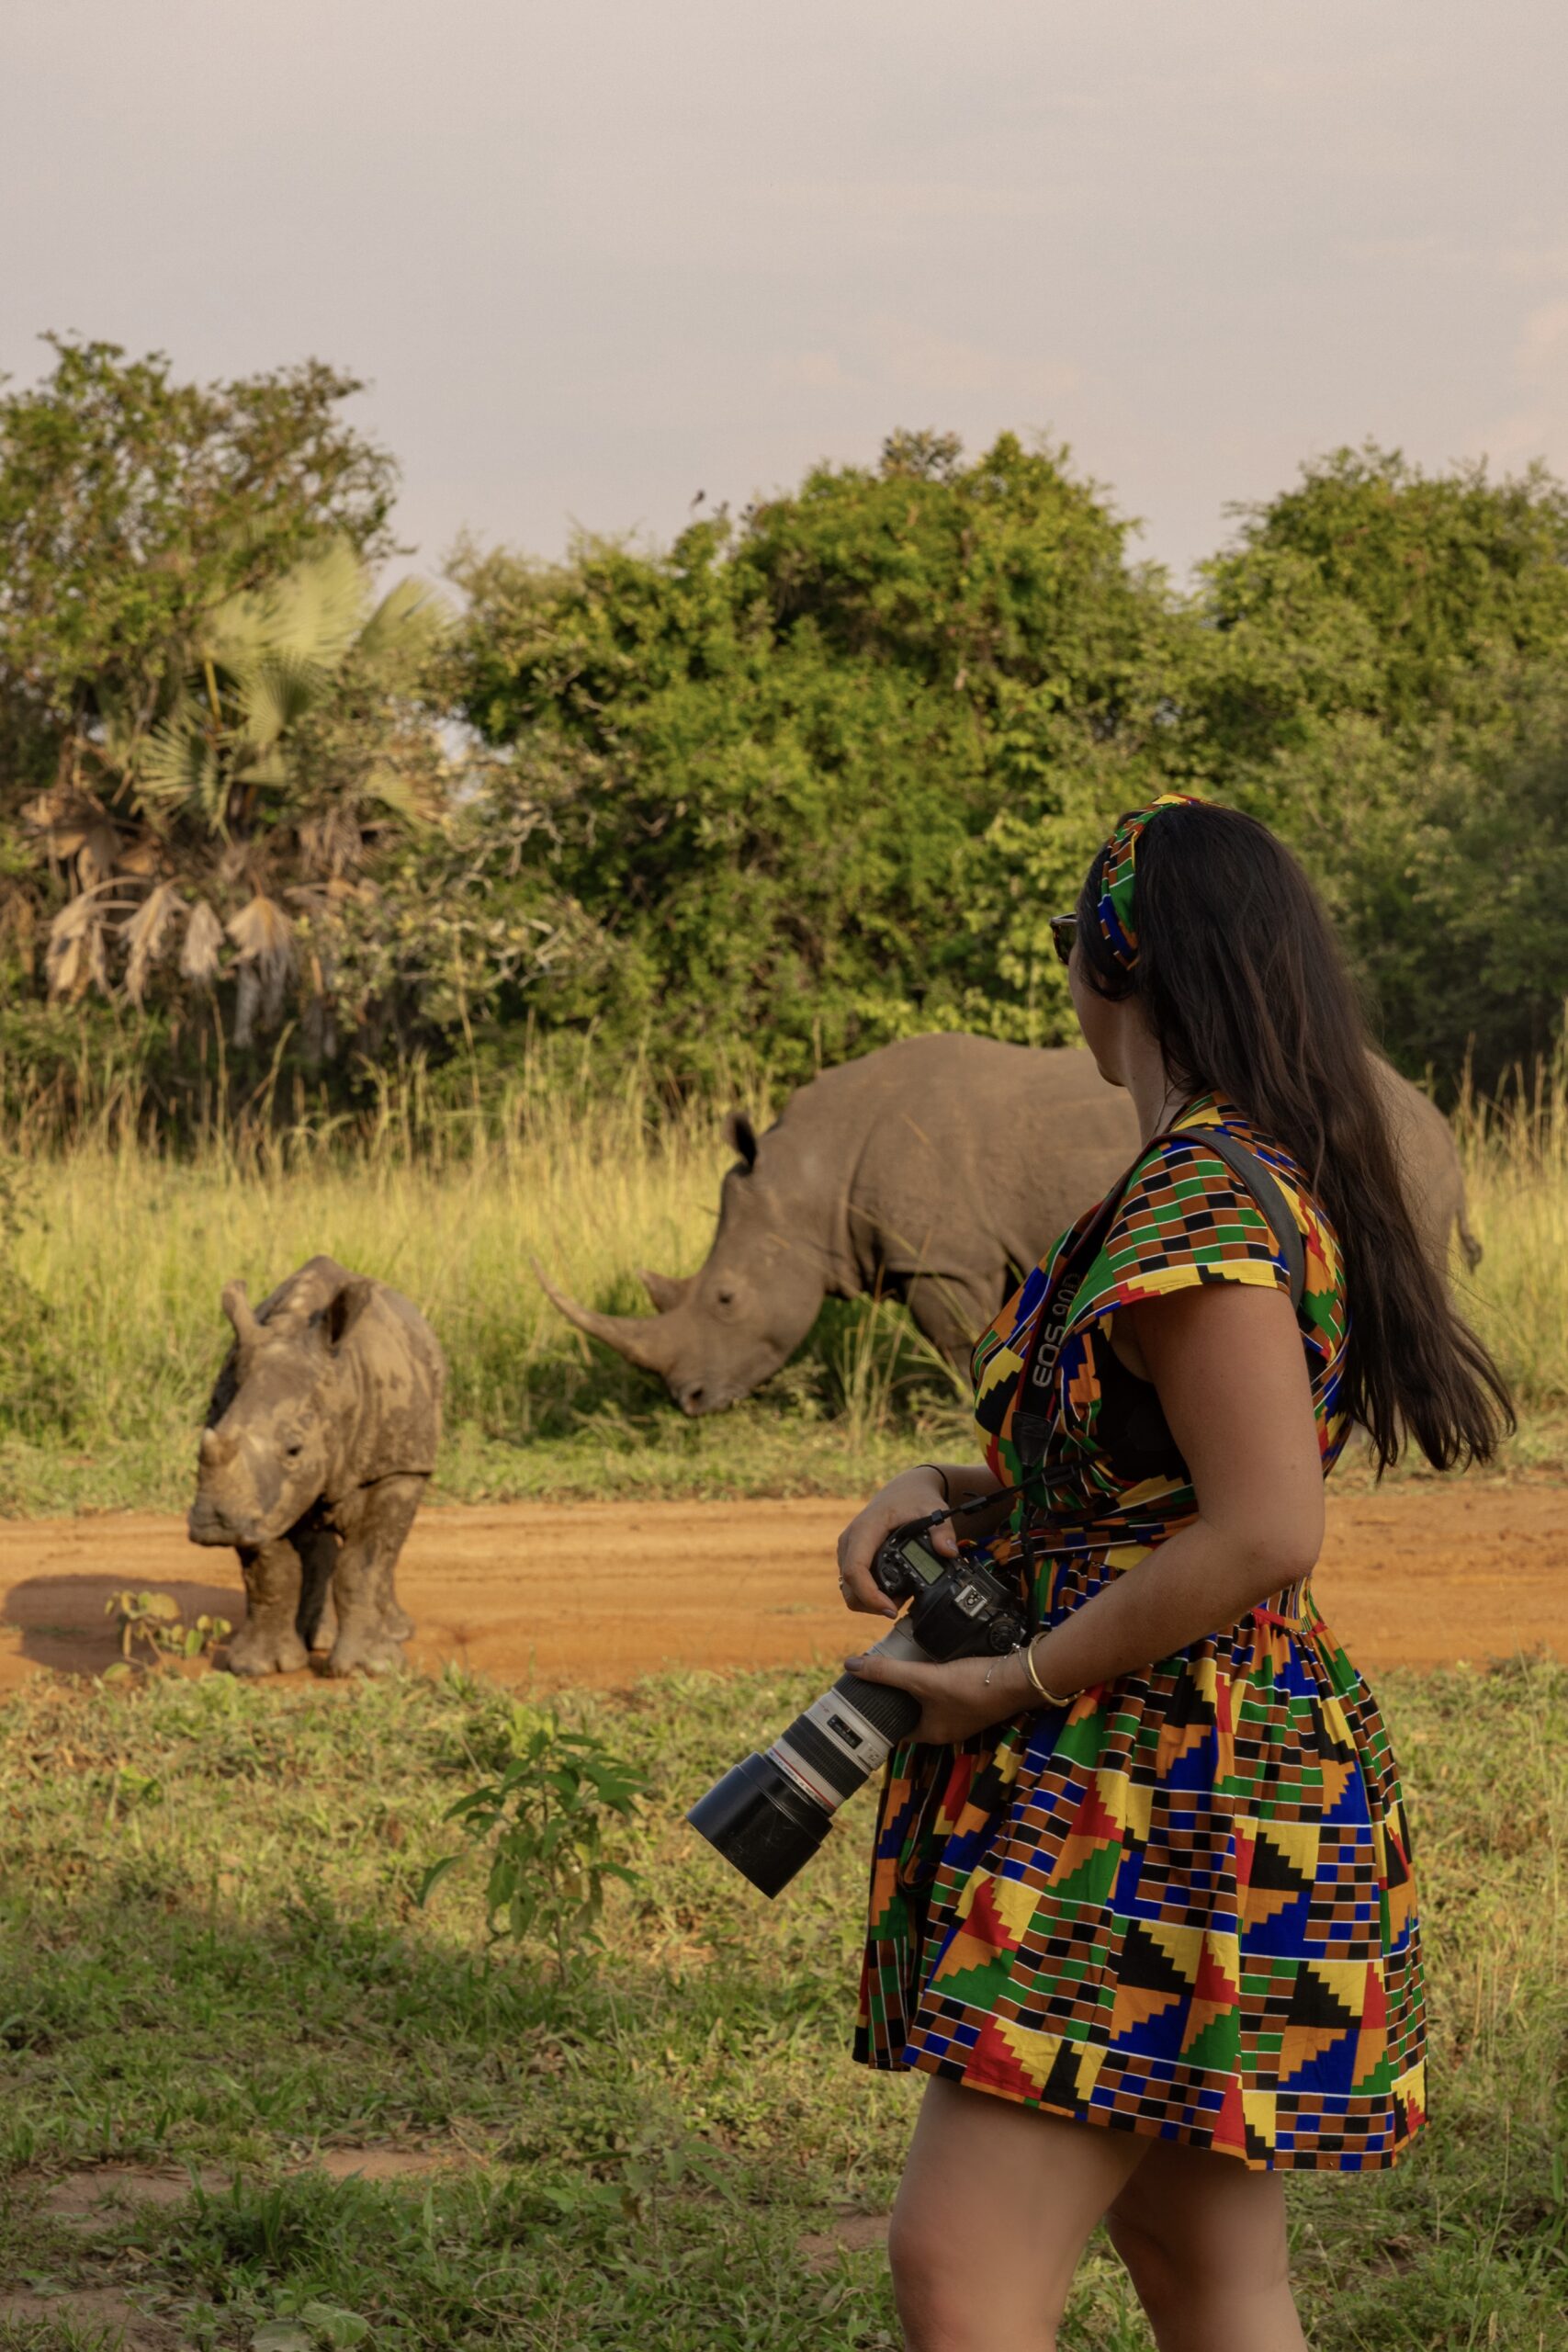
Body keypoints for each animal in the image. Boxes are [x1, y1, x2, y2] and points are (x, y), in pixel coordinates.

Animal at [187, 1255, 445, 1677]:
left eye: (295, 1449)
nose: (214, 1523)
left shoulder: (397, 1466)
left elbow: (366, 1561)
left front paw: (370, 1668)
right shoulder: (261, 1495)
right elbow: (272, 1569)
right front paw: (258, 1666)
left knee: (388, 1545)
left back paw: (396, 1631)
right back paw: (316, 1637)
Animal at [537, 1034, 1480, 1416]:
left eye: (727, 1299)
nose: (687, 1401)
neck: (807, 1181)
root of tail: (1433, 1115)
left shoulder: (939, 1260)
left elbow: (959, 1344)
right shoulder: (948, 1257)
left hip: (1403, 1158)